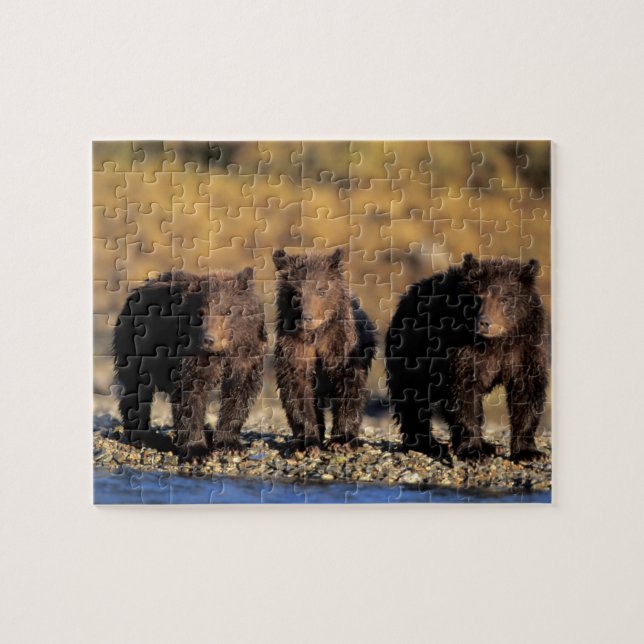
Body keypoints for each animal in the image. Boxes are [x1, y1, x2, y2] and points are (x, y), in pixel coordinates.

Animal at [113, 268, 266, 459]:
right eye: (200, 312)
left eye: (228, 312)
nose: (208, 339)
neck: (222, 353)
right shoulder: (190, 357)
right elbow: (189, 397)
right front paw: (197, 450)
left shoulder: (246, 354)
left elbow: (239, 393)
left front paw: (230, 443)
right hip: (135, 345)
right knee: (136, 389)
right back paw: (145, 435)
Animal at [272, 249, 377, 455]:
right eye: (296, 294)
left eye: (321, 290)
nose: (307, 317)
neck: (316, 335)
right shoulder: (294, 348)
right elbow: (298, 392)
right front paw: (307, 442)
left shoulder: (342, 346)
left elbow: (349, 389)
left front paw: (341, 440)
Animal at [386, 254, 548, 461]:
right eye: (478, 297)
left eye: (505, 299)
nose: (485, 322)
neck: (497, 342)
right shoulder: (462, 351)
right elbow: (463, 394)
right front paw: (473, 451)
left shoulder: (524, 350)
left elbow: (527, 392)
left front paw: (528, 452)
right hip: (412, 351)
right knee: (412, 397)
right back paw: (428, 444)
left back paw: (489, 446)